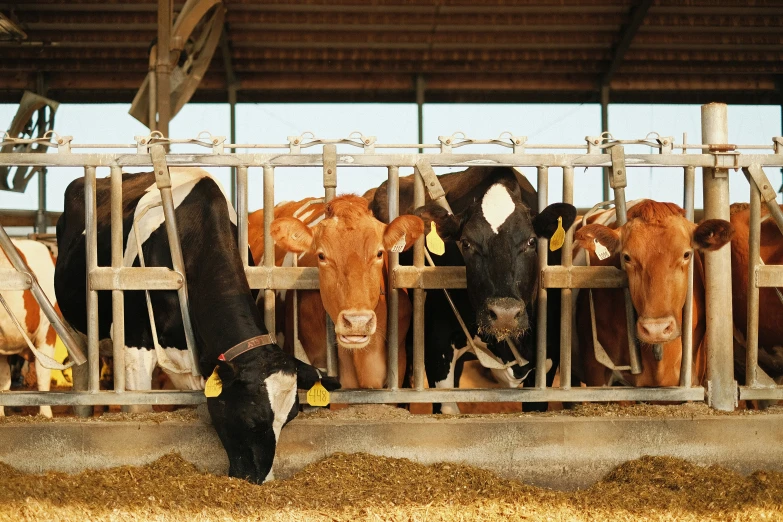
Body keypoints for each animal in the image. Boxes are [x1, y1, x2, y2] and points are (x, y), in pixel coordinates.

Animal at [55, 169, 336, 482]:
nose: (262, 480)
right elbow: (138, 407)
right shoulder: (133, 345)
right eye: (252, 418)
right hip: (75, 328)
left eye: (290, 417)